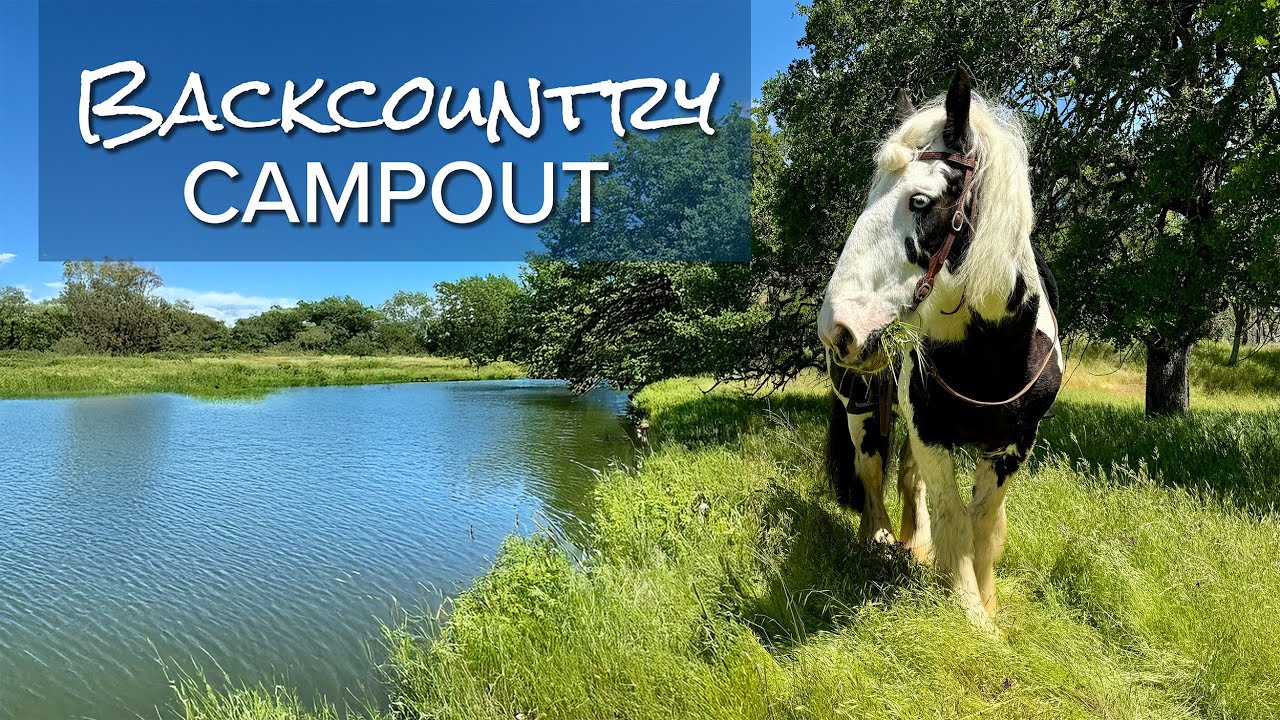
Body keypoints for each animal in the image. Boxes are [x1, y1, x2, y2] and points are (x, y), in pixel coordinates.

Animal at [819, 68, 1063, 625]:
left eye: (920, 200)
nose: (837, 327)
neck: (990, 357)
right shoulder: (931, 433)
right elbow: (954, 518)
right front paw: (971, 616)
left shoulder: (1013, 447)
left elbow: (983, 525)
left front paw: (988, 606)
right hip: (860, 407)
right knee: (871, 470)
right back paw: (879, 538)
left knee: (908, 479)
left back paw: (915, 545)